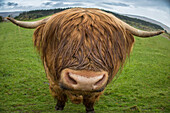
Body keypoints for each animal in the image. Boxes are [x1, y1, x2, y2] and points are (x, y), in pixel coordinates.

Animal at [6, 7, 165, 112]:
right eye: (61, 38)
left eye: (109, 42)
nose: (85, 80)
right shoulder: (53, 79)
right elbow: (59, 94)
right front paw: (59, 106)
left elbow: (90, 99)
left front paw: (90, 109)